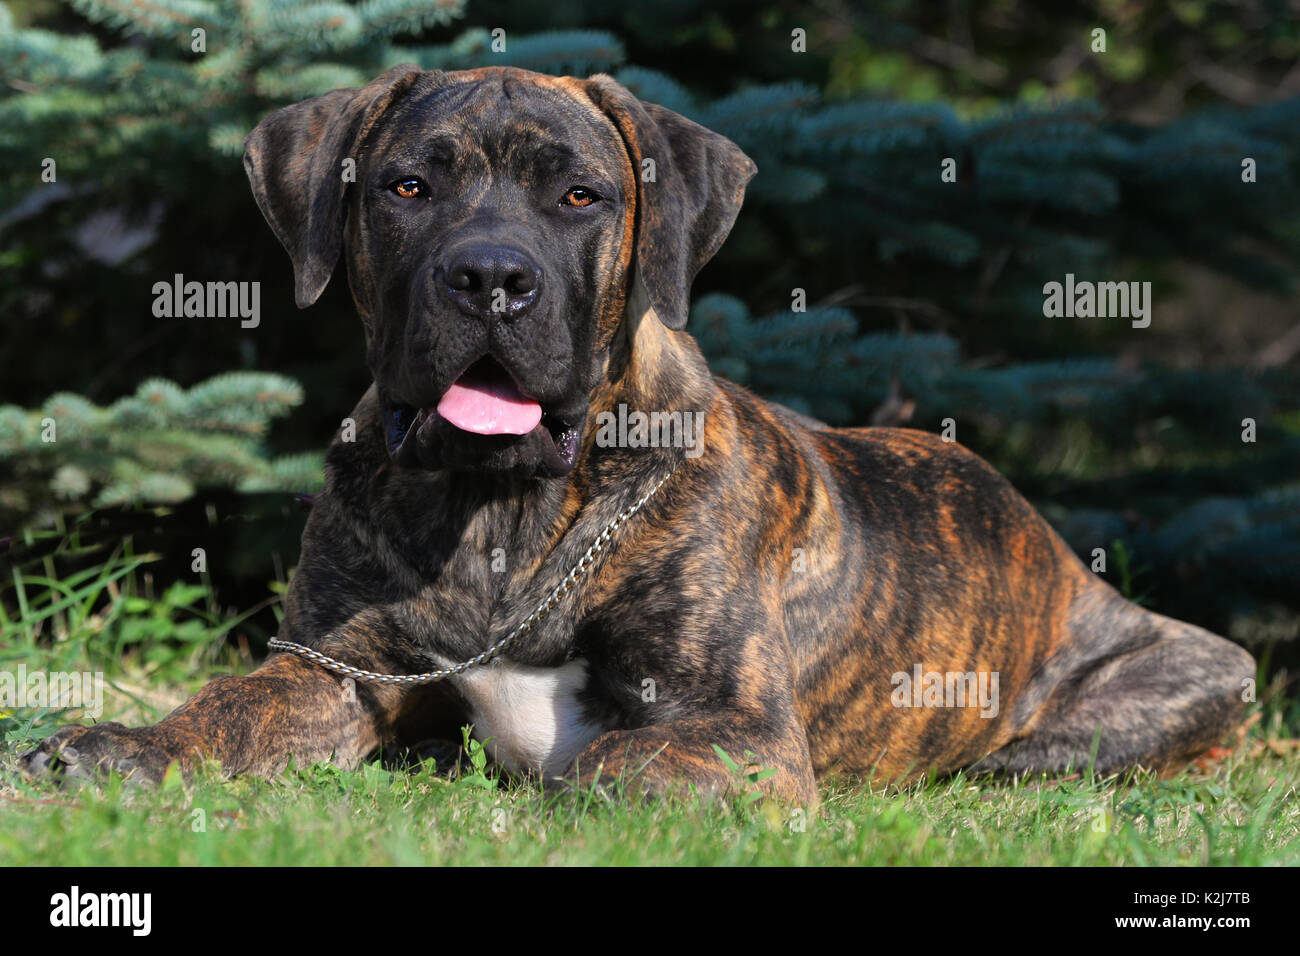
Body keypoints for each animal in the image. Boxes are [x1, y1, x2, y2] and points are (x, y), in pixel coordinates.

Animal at [22, 63, 1258, 806]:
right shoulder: (335, 667)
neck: (502, 508)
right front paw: (126, 744)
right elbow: (230, 708)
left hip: (1177, 683)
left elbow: (614, 760)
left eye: (580, 196)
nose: (491, 276)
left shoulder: (736, 727)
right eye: (408, 186)